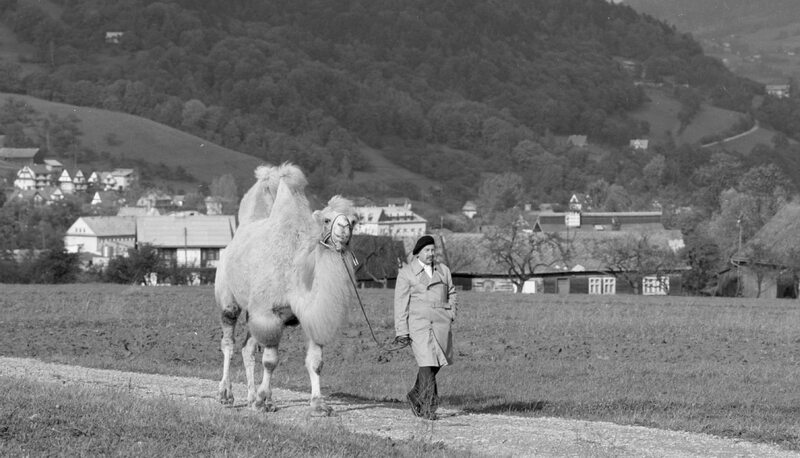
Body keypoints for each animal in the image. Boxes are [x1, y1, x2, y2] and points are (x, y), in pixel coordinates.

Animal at [216, 163, 360, 414]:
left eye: (353, 221)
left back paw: (250, 398)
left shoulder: (309, 317)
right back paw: (227, 395)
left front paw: (319, 404)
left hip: (253, 310)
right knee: (229, 343)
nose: (343, 229)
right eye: (326, 219)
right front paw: (265, 401)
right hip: (229, 297)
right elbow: (270, 361)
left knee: (247, 348)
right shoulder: (268, 314)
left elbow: (316, 361)